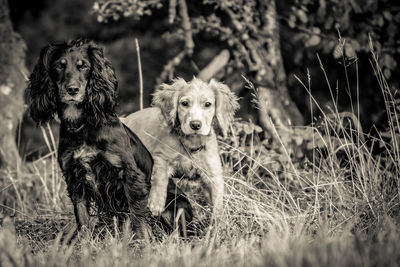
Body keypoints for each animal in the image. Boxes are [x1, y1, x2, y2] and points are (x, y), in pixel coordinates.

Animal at [27, 39, 192, 239]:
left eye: (84, 66)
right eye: (60, 65)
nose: (72, 90)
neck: (83, 126)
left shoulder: (130, 175)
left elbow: (138, 216)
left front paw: (143, 242)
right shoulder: (74, 178)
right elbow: (82, 218)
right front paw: (85, 243)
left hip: (175, 204)